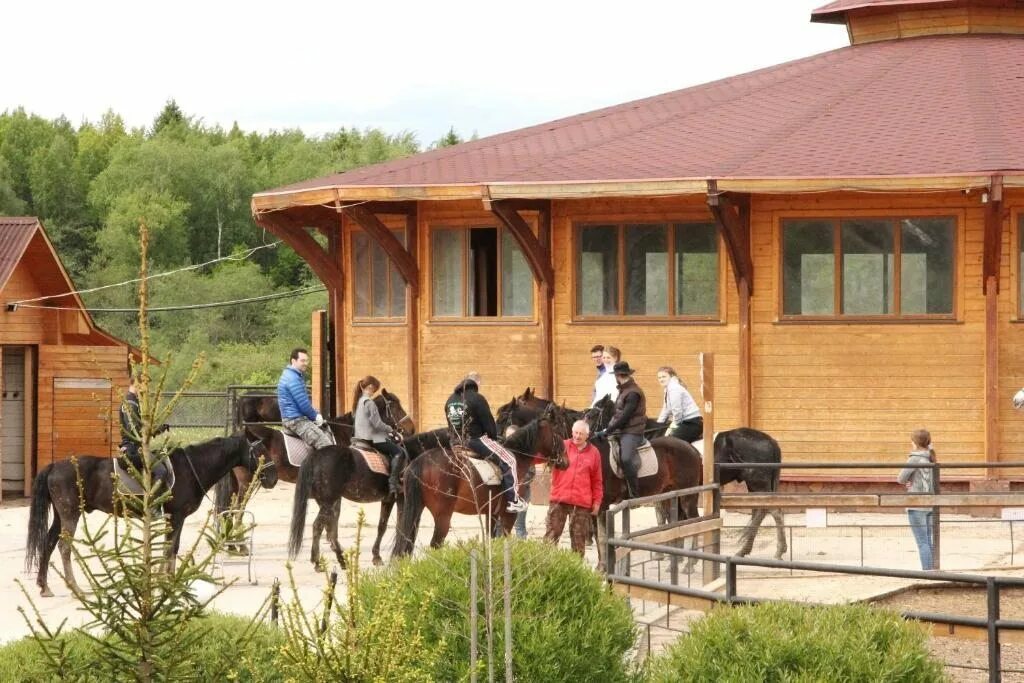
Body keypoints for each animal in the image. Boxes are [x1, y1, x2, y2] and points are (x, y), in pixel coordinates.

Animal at [27, 432, 276, 598]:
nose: (273, 478)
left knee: (48, 544)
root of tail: (54, 466)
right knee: (64, 547)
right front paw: (168, 582)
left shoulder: (172, 519)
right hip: (70, 515)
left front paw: (164, 580)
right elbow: (170, 549)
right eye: (260, 453)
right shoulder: (176, 516)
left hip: (61, 516)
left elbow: (169, 549)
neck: (191, 467)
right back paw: (76, 589)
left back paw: (44, 586)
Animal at [216, 389, 411, 565]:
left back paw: (231, 545)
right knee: (238, 509)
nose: (410, 427)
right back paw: (240, 545)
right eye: (395, 405)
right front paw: (332, 545)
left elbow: (331, 516)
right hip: (248, 483)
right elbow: (334, 517)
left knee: (229, 510)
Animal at [391, 411, 569, 561]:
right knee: (435, 544)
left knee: (405, 544)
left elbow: (493, 541)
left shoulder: (492, 515)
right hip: (443, 516)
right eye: (558, 433)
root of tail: (420, 461)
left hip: (415, 510)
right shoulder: (508, 516)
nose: (566, 462)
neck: (518, 457)